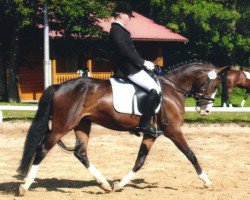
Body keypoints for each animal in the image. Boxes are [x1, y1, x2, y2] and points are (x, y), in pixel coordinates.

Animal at [18, 61, 225, 195]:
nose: (206, 110)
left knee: (80, 153)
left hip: (82, 124)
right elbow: (190, 154)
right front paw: (207, 181)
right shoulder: (173, 131)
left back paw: (104, 184)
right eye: (215, 84)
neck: (172, 90)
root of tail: (59, 86)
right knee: (42, 149)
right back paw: (25, 186)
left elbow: (140, 160)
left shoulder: (152, 134)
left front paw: (119, 184)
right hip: (62, 126)